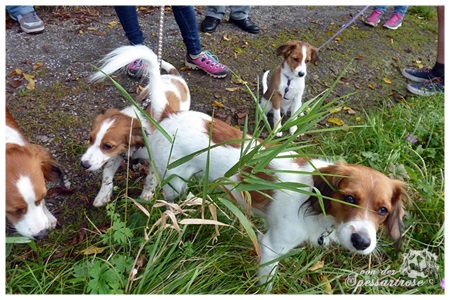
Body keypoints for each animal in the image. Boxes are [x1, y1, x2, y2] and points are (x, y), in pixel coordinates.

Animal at [81, 45, 191, 207]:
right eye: (90, 139)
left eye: (107, 146)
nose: (84, 164)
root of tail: (176, 77)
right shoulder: (117, 154)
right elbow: (106, 175)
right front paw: (103, 195)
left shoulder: (154, 161)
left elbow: (151, 179)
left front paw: (146, 196)